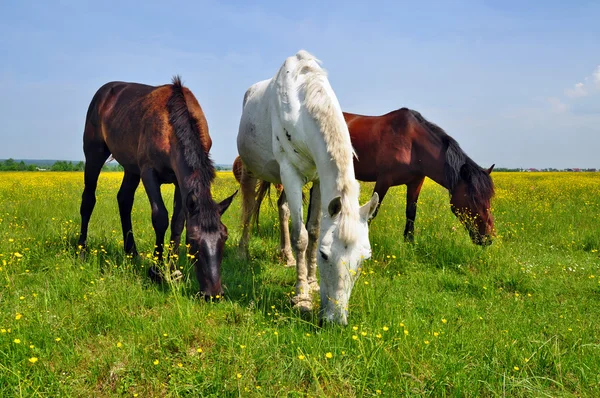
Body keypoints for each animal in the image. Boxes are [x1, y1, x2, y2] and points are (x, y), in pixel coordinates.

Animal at [79, 76, 237, 296]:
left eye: (225, 236)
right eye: (193, 241)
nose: (213, 294)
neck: (172, 125)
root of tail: (105, 92)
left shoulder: (180, 182)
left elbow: (177, 222)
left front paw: (173, 271)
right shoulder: (149, 172)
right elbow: (160, 217)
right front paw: (156, 270)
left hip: (131, 168)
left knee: (124, 199)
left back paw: (132, 253)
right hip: (95, 153)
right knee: (88, 199)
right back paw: (81, 251)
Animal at [237, 49, 378, 324]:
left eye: (364, 259)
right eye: (325, 255)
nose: (336, 321)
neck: (301, 107)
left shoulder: (318, 180)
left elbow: (313, 231)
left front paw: (311, 282)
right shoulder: (290, 174)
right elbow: (300, 236)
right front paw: (301, 296)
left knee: (282, 209)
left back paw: (287, 257)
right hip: (251, 170)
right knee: (248, 209)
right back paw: (243, 252)